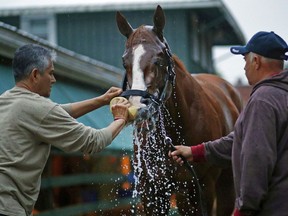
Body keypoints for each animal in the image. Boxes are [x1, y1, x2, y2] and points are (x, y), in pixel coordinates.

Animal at [116, 5, 242, 216]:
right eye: (125, 62)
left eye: (159, 59)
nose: (138, 107)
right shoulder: (152, 190)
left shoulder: (198, 190)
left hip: (225, 185)